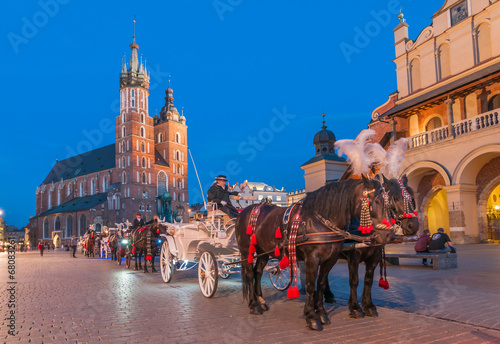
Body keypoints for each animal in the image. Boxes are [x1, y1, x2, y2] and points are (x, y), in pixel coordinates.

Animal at [234, 176, 394, 332]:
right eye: (376, 201)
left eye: (389, 203)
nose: (388, 234)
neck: (321, 220)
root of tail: (245, 211)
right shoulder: (313, 258)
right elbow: (311, 286)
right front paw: (311, 317)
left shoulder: (332, 259)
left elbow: (321, 283)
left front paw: (322, 313)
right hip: (246, 250)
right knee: (249, 274)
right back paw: (254, 305)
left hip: (263, 252)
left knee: (258, 272)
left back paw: (261, 301)